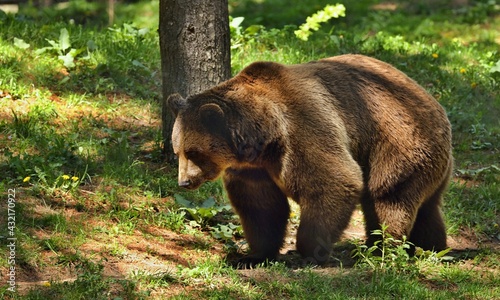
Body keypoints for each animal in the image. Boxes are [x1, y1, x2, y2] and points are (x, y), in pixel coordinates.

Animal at [168, 54, 454, 268]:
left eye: (193, 152)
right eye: (177, 150)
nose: (184, 182)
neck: (262, 140)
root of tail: (434, 102)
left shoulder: (302, 129)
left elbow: (333, 181)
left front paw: (308, 252)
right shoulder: (253, 169)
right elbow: (261, 207)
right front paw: (252, 256)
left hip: (397, 143)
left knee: (387, 198)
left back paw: (379, 249)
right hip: (430, 163)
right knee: (427, 207)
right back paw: (432, 248)